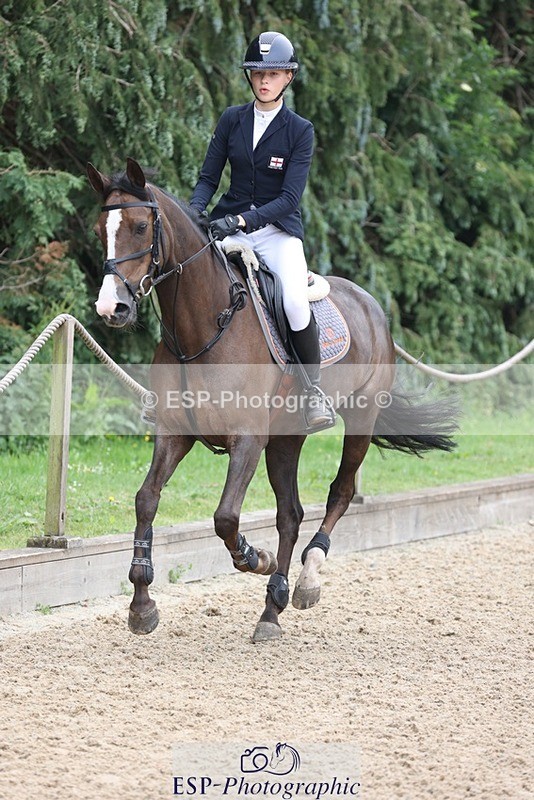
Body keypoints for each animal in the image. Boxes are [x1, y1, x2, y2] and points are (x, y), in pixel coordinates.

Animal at [87, 157, 456, 642]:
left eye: (141, 226)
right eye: (100, 230)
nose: (112, 309)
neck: (202, 327)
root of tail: (371, 304)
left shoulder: (247, 438)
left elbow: (226, 516)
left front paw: (253, 558)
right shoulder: (174, 432)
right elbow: (146, 499)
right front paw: (142, 603)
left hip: (360, 418)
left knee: (339, 493)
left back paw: (305, 580)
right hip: (287, 437)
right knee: (290, 514)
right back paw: (272, 609)